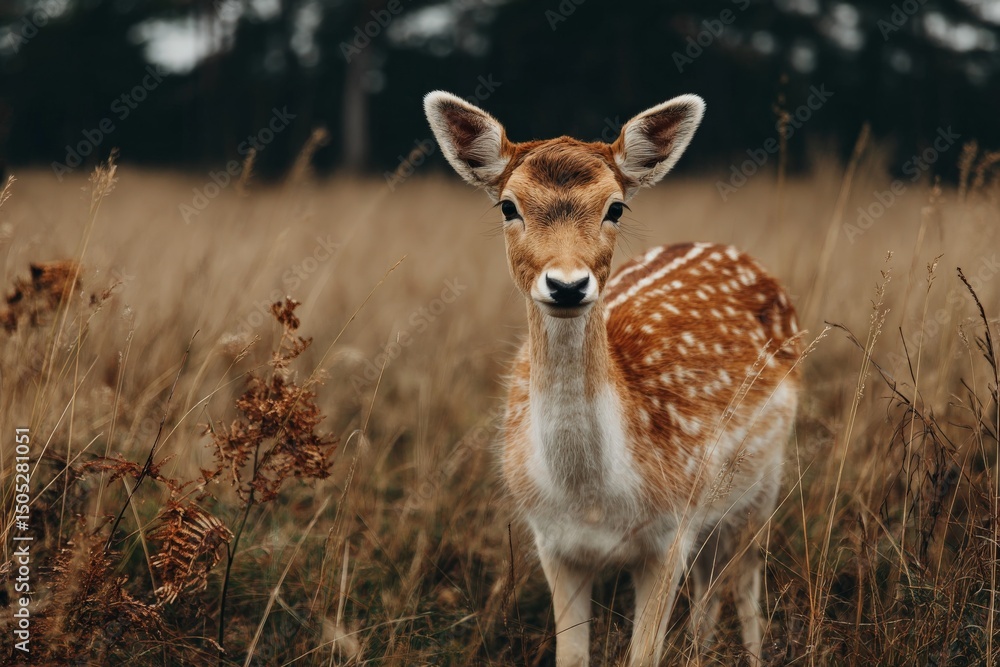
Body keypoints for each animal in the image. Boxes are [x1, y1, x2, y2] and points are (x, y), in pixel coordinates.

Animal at [424, 91, 801, 666]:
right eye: (508, 206)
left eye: (616, 207)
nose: (566, 285)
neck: (594, 501)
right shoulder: (552, 541)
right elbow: (572, 657)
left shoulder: (670, 531)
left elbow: (644, 655)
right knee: (710, 587)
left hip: (766, 477)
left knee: (745, 583)